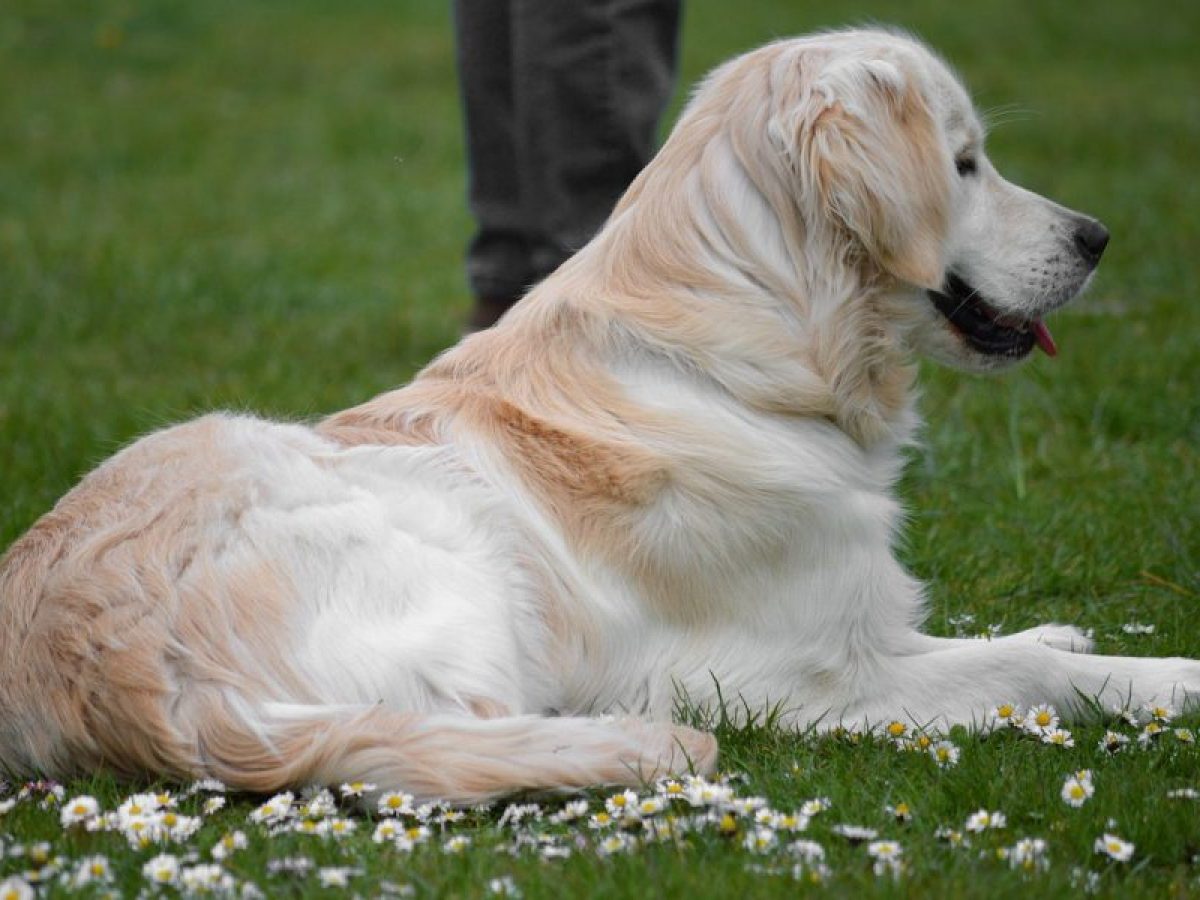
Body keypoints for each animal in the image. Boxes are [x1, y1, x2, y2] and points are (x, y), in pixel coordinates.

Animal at [2, 28, 1200, 801]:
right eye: (965, 164)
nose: (1098, 236)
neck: (754, 359)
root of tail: (111, 681)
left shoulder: (859, 623)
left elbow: (993, 644)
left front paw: (1059, 628)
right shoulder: (796, 679)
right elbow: (1025, 676)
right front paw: (1166, 680)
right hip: (465, 571)